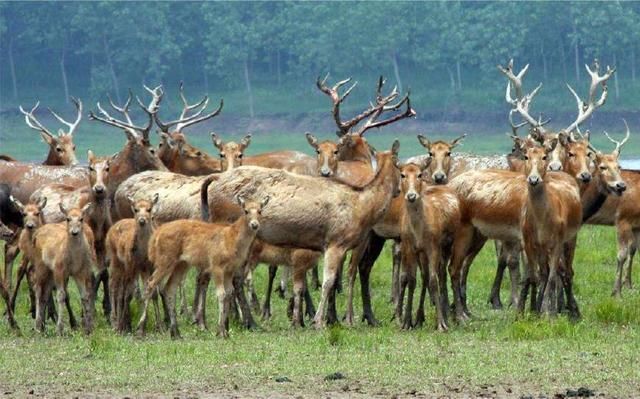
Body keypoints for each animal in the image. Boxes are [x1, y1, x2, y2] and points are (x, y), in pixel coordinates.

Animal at [31, 205, 96, 336]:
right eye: (68, 218)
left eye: (81, 219)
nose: (74, 232)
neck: (74, 258)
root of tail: (36, 234)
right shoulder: (59, 270)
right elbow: (61, 296)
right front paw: (60, 329)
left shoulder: (79, 272)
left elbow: (84, 296)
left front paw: (88, 329)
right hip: (41, 265)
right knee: (37, 289)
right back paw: (37, 326)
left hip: (50, 272)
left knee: (45, 293)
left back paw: (42, 326)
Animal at [107, 195, 160, 332]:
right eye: (136, 209)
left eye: (149, 209)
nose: (142, 220)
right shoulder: (131, 266)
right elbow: (128, 294)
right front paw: (123, 325)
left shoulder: (149, 268)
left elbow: (151, 293)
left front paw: (156, 326)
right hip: (115, 260)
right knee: (113, 286)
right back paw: (115, 322)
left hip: (129, 269)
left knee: (121, 290)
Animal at [139, 195, 268, 340]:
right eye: (246, 211)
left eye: (260, 211)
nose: (254, 225)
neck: (233, 240)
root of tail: (155, 236)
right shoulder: (216, 265)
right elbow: (221, 294)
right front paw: (220, 331)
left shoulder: (230, 270)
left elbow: (229, 293)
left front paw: (225, 331)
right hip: (165, 259)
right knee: (150, 284)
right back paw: (141, 328)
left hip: (181, 264)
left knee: (169, 289)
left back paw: (176, 332)